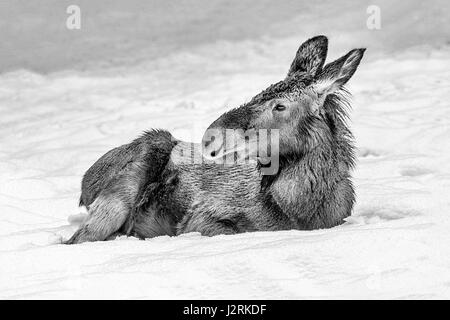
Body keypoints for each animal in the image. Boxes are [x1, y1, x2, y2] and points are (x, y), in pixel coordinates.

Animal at [64, 35, 366, 245]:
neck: (300, 210)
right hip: (127, 182)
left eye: (280, 106)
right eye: (258, 93)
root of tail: (84, 187)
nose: (211, 136)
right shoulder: (202, 218)